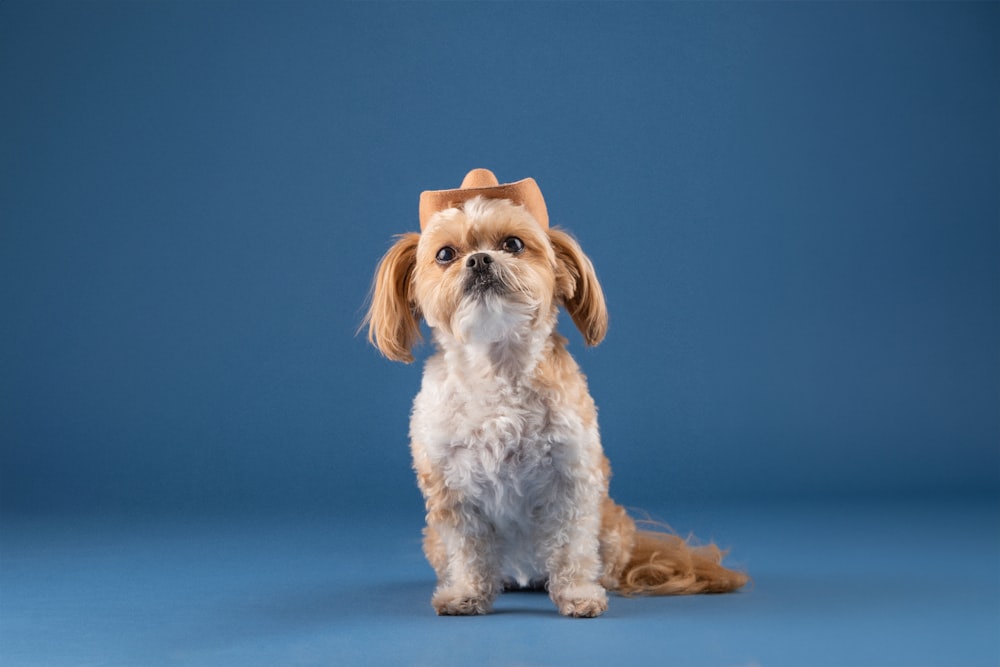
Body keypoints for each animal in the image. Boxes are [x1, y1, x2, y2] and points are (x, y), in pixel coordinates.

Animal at [364, 170, 748, 620]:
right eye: (445, 254)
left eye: (513, 244)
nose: (478, 259)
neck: (498, 366)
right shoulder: (450, 491)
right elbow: (469, 550)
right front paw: (466, 594)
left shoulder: (572, 481)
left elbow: (571, 549)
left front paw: (579, 595)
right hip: (434, 541)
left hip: (611, 528)